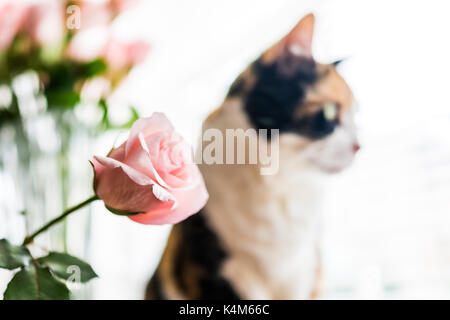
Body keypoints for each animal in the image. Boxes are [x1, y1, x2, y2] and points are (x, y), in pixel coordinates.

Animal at [146, 13, 360, 300]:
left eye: (356, 117)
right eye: (329, 112)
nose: (358, 146)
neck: (276, 185)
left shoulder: (306, 273)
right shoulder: (212, 273)